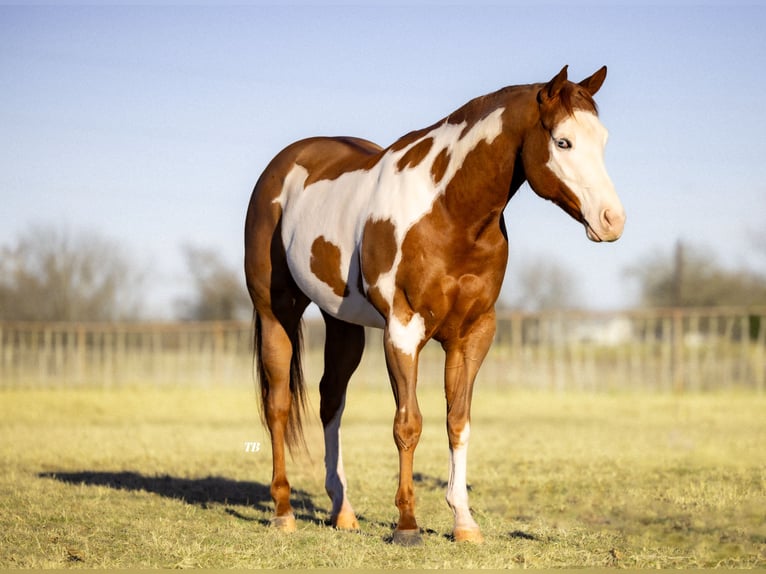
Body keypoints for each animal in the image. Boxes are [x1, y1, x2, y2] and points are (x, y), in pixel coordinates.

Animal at [243, 65, 628, 548]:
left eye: (604, 139)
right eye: (563, 142)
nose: (613, 221)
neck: (448, 210)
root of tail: (282, 168)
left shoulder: (472, 334)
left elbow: (457, 422)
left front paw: (464, 522)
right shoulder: (403, 330)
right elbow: (408, 424)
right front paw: (407, 526)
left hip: (342, 323)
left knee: (331, 400)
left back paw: (342, 511)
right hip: (277, 312)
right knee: (278, 405)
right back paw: (283, 510)